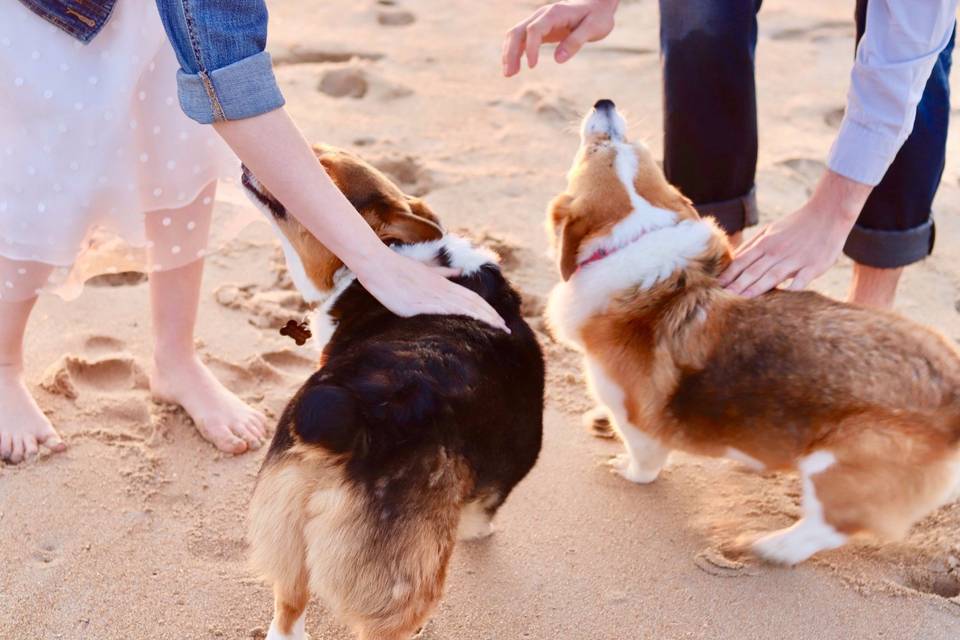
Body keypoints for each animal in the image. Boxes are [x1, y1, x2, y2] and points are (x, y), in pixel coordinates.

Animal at [240, 146, 544, 640]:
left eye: (325, 165)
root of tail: (351, 420)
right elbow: (486, 509)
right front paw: (479, 531)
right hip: (403, 588)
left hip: (287, 538)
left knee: (288, 611)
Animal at [544, 100, 960, 564]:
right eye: (631, 145)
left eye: (596, 150)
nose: (605, 103)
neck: (637, 233)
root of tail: (952, 391)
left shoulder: (636, 420)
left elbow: (644, 461)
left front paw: (625, 469)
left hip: (839, 463)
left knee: (828, 527)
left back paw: (772, 546)